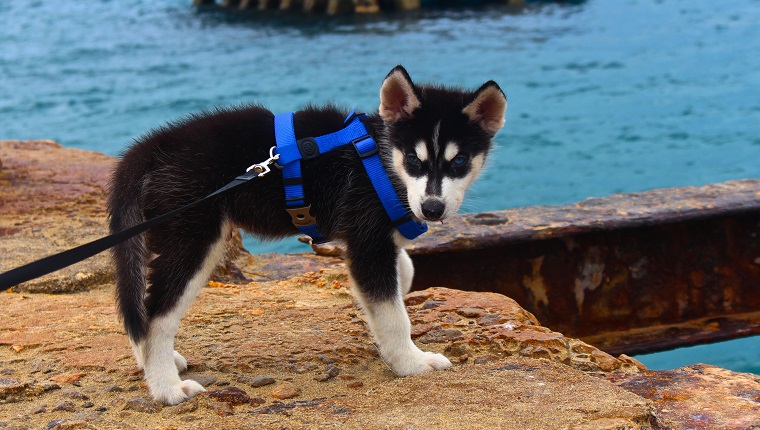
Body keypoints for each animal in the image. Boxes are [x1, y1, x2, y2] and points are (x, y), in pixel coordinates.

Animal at [108, 65, 504, 404]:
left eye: (459, 162)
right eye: (412, 159)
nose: (432, 209)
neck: (379, 160)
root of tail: (153, 146)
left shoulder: (370, 242)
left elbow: (400, 276)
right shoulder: (367, 240)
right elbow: (393, 315)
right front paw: (411, 363)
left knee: (141, 310)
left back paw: (150, 364)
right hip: (195, 239)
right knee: (155, 315)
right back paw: (166, 388)